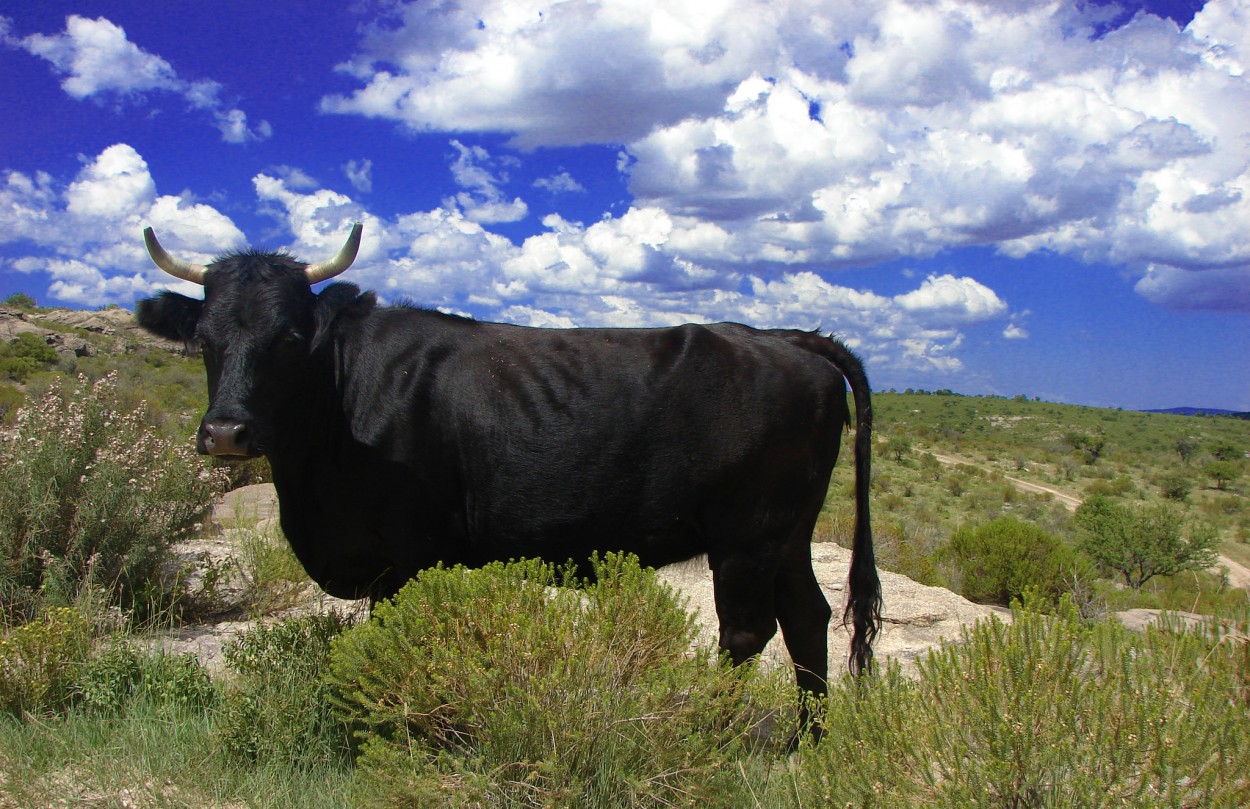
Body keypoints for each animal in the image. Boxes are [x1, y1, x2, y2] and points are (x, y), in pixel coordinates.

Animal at [134, 225, 880, 720]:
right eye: (205, 339)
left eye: (290, 336)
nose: (225, 432)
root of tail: (780, 338)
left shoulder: (408, 553)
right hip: (786, 533)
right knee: (807, 617)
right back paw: (808, 740)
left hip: (746, 536)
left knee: (748, 632)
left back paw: (716, 734)